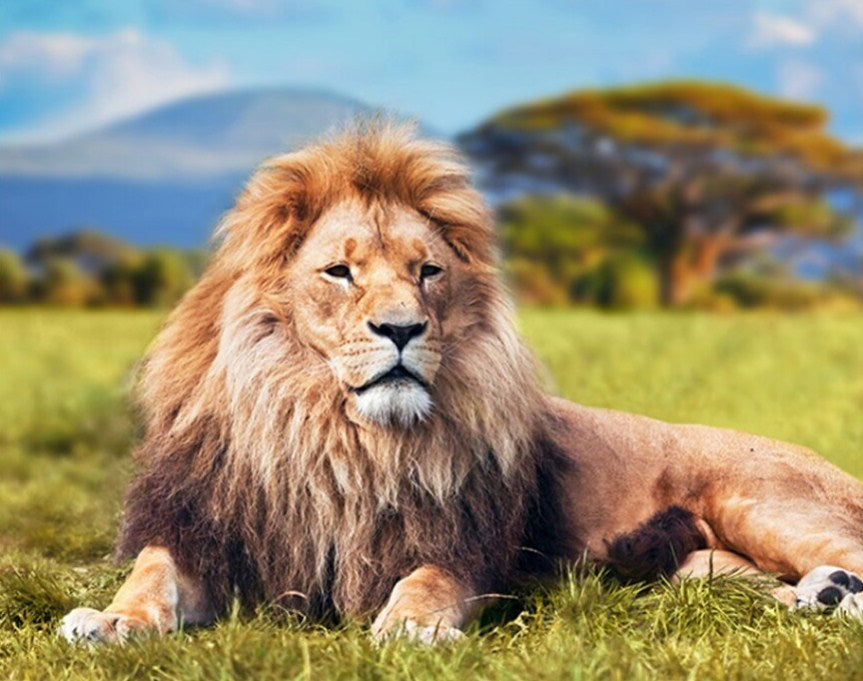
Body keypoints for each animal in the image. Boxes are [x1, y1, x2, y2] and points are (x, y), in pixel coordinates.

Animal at [61, 123, 863, 644]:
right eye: (339, 271)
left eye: (427, 271)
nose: (402, 329)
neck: (335, 435)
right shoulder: (204, 531)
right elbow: (150, 576)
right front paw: (110, 620)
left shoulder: (464, 542)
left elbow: (428, 580)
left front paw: (411, 626)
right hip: (697, 566)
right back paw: (824, 595)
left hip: (760, 502)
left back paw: (838, 593)